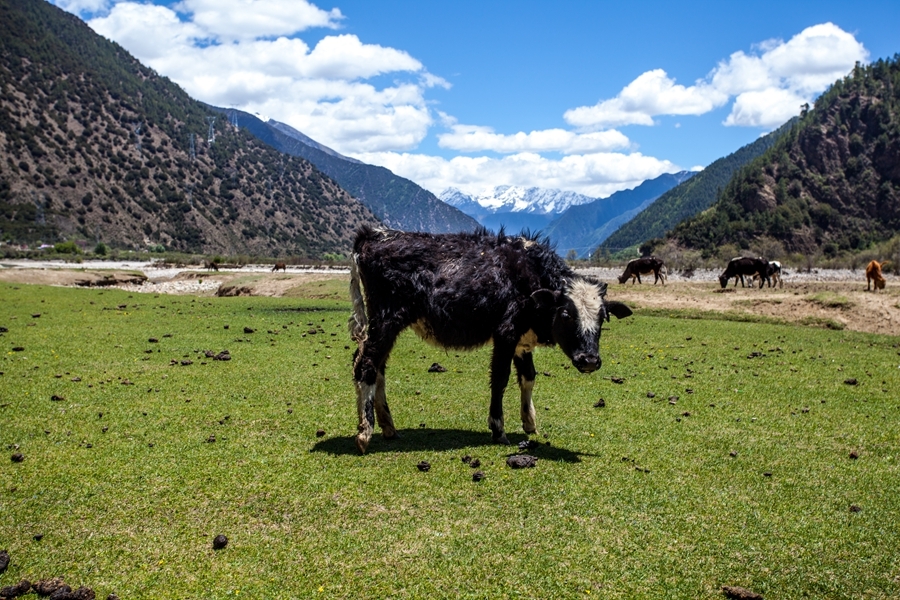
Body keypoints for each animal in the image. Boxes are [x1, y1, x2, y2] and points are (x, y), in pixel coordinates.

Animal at [346, 227, 632, 452]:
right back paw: (365, 433)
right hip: (386, 320)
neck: (531, 276)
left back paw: (389, 427)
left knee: (378, 368)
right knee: (366, 364)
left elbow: (528, 376)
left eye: (603, 317)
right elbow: (500, 378)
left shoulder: (522, 340)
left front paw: (530, 423)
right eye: (565, 314)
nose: (589, 360)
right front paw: (498, 429)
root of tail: (372, 235)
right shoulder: (506, 333)